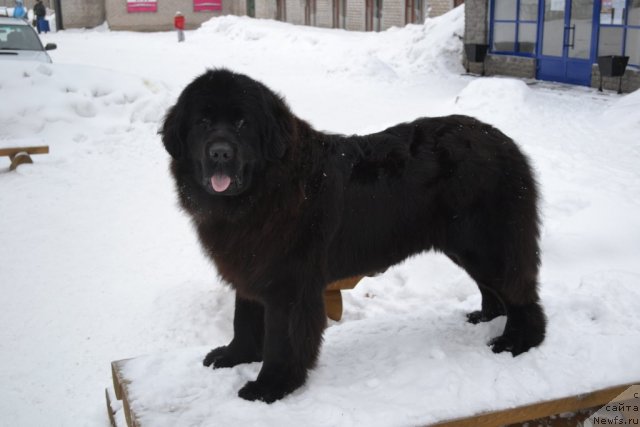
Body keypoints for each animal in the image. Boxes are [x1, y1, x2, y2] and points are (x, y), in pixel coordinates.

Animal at [160, 69, 544, 404]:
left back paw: (519, 341)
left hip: (489, 244)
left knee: (521, 293)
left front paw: (271, 386)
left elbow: (282, 340)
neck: (265, 190)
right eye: (202, 122)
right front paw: (234, 356)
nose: (220, 152)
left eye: (243, 123)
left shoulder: (289, 285)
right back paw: (488, 318)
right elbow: (244, 319)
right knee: (493, 288)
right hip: (465, 246)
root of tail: (505, 142)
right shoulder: (249, 266)